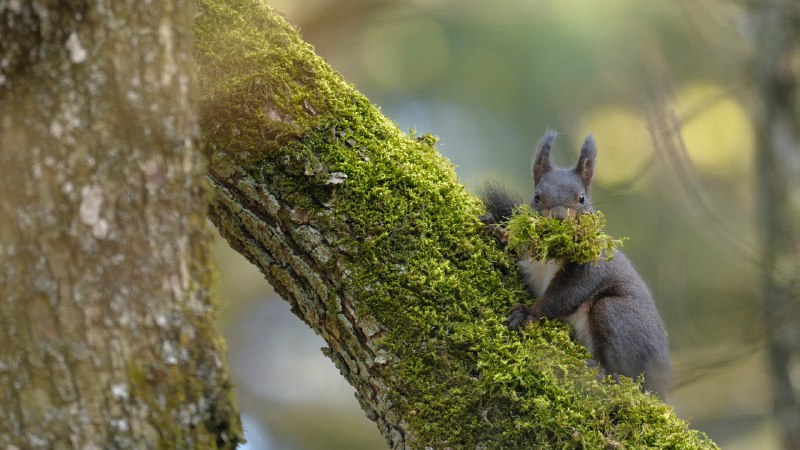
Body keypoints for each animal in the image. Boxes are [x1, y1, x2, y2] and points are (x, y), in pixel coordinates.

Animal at [481, 131, 672, 399]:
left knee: (622, 367)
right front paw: (498, 230)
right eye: (537, 197)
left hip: (617, 315)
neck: (551, 254)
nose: (559, 217)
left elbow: (564, 294)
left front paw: (529, 313)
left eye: (581, 198)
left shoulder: (589, 268)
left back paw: (603, 369)